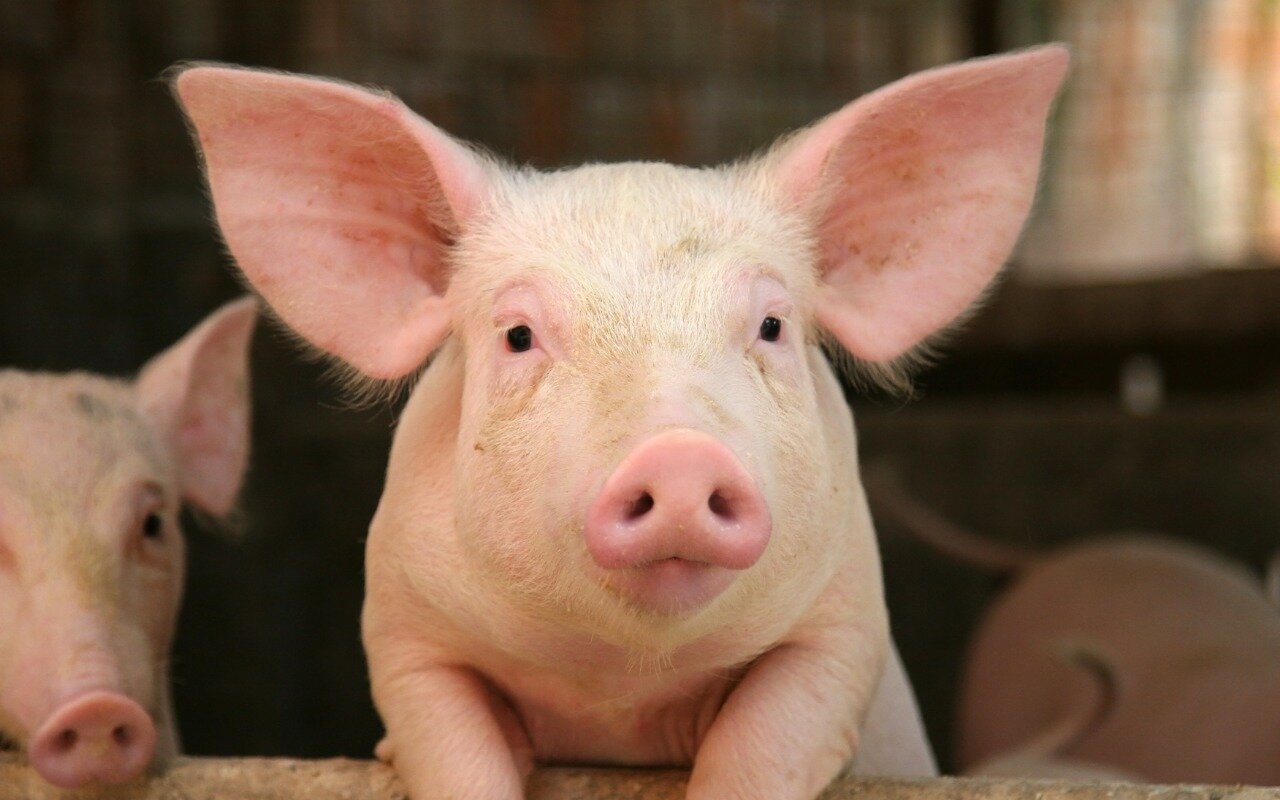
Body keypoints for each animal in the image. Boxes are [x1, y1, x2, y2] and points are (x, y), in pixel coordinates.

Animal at [172, 46, 1068, 800]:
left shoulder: (843, 624)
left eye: (772, 325)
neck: (621, 689)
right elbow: (453, 750)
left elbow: (763, 744)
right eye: (518, 334)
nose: (678, 457)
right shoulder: (403, 631)